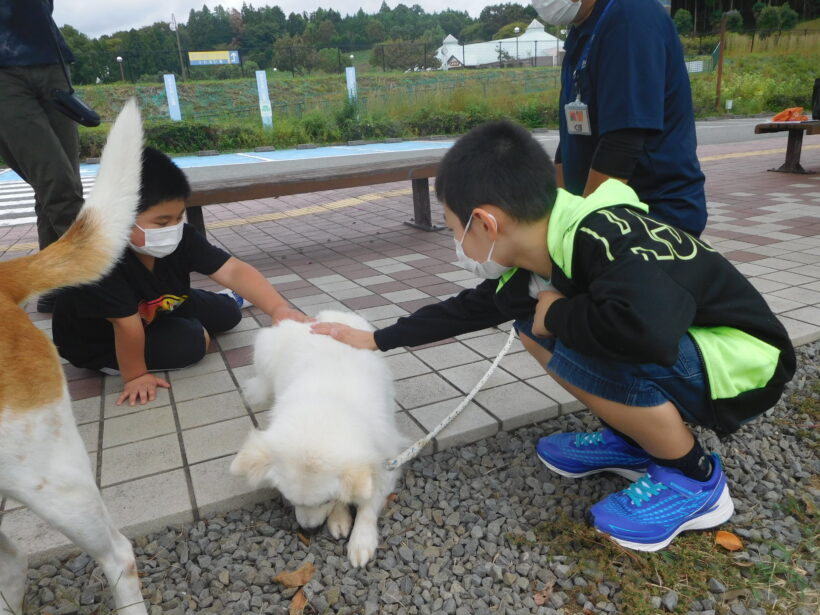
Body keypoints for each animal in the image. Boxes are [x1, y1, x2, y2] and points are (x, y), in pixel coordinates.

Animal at [231, 310, 404, 572]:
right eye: (289, 500)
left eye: (326, 500)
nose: (309, 530)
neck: (326, 406)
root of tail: (328, 315)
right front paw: (341, 518)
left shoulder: (385, 458)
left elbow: (367, 501)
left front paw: (361, 540)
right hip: (265, 347)